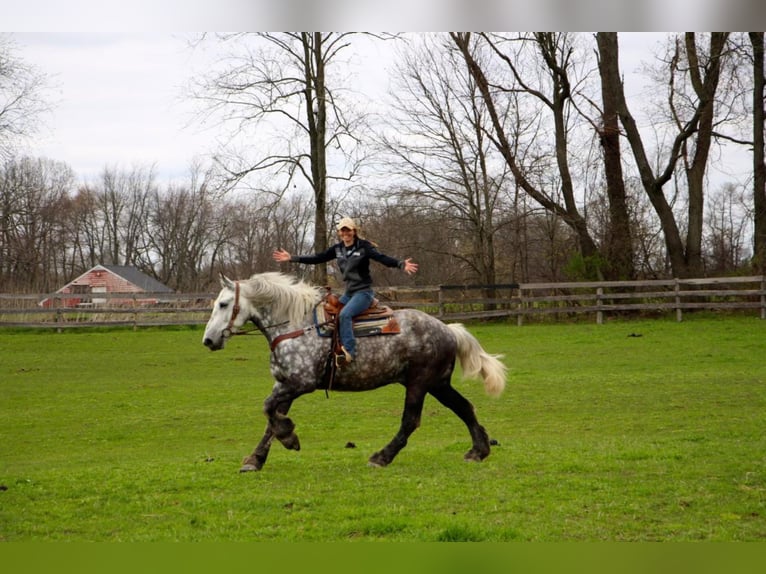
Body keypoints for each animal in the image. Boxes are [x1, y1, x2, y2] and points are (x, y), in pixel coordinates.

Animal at [201, 274, 508, 472]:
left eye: (224, 304)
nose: (208, 340)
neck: (295, 325)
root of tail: (448, 329)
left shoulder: (301, 383)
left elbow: (268, 410)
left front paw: (289, 438)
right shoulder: (284, 384)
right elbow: (270, 419)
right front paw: (256, 459)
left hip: (419, 383)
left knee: (411, 421)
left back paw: (382, 457)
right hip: (438, 383)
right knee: (465, 407)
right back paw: (478, 450)